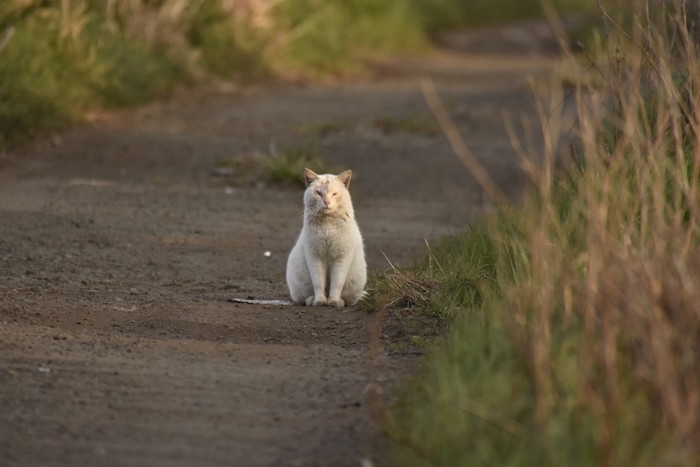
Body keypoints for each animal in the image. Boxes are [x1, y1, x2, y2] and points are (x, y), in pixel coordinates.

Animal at [288, 167, 370, 308]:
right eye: (318, 193)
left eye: (335, 194)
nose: (327, 202)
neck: (327, 225)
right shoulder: (314, 256)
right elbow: (318, 282)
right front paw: (320, 300)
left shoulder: (342, 257)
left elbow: (337, 282)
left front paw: (334, 301)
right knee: (304, 297)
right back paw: (311, 300)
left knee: (349, 300)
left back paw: (340, 302)